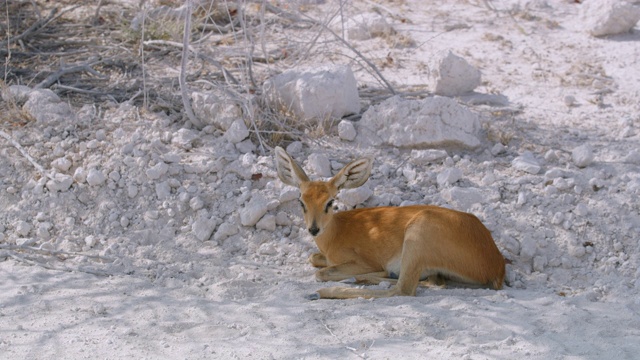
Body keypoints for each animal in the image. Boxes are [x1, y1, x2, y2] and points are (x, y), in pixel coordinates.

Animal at [276, 145, 504, 300]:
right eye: (301, 201)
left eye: (330, 201)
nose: (314, 228)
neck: (335, 234)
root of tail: (496, 264)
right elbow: (313, 258)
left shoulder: (362, 261)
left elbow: (321, 272)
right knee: (434, 283)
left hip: (416, 239)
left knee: (403, 290)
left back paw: (326, 291)